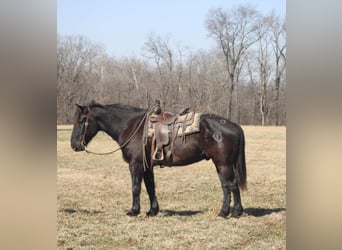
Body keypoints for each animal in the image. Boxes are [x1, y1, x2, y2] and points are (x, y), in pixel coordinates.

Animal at [71, 100, 246, 218]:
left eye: (81, 121)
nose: (74, 145)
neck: (132, 127)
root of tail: (234, 126)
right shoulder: (147, 167)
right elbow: (150, 188)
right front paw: (152, 211)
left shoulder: (135, 165)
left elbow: (136, 188)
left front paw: (133, 211)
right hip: (224, 165)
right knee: (231, 185)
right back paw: (235, 212)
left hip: (223, 164)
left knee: (229, 185)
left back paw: (225, 212)